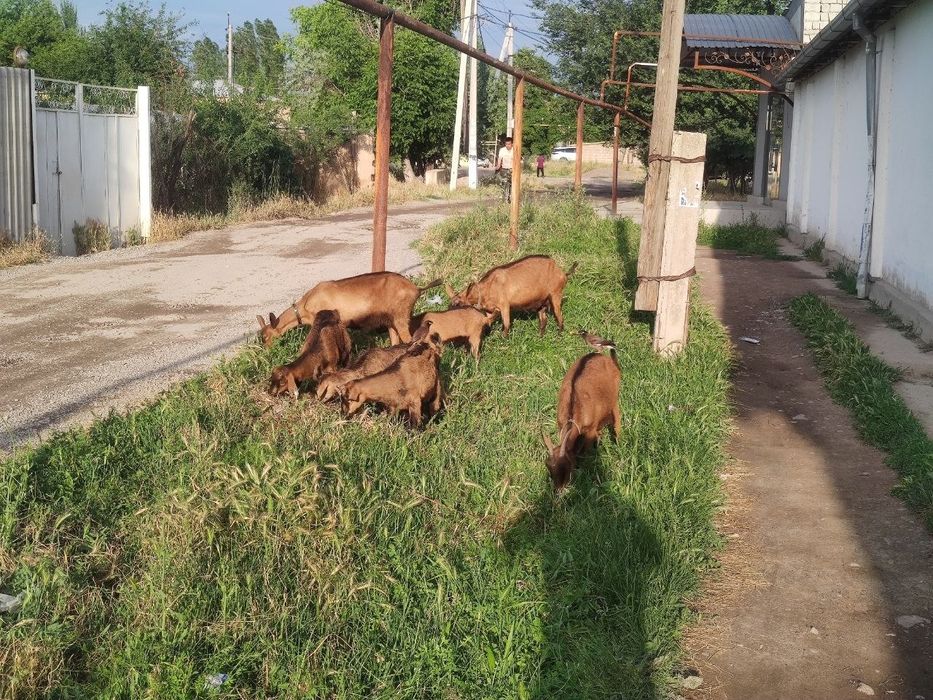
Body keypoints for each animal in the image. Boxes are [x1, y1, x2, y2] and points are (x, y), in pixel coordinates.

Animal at [257, 272, 441, 347]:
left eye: (266, 337)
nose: (267, 350)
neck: (305, 305)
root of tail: (416, 288)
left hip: (401, 317)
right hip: (392, 320)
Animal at [446, 255, 576, 337]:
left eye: (459, 304)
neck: (486, 288)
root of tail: (562, 273)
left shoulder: (504, 305)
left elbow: (507, 324)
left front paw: (503, 340)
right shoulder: (490, 309)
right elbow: (488, 320)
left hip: (555, 294)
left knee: (560, 317)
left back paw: (559, 336)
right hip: (541, 302)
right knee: (543, 319)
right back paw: (540, 336)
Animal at [543, 332, 621, 489]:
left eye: (566, 465)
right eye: (548, 466)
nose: (558, 490)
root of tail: (607, 359)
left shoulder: (590, 429)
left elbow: (584, 451)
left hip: (615, 398)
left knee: (617, 420)